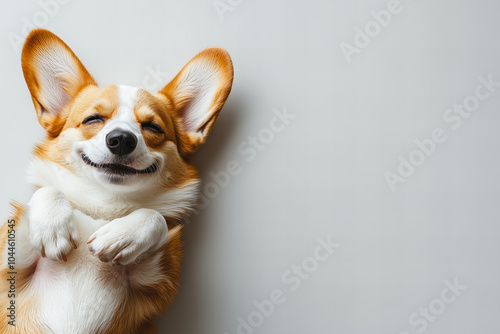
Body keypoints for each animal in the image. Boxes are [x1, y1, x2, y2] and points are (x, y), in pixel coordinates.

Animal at [0, 29, 234, 334]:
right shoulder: (12, 265)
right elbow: (47, 190)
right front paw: (53, 227)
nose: (122, 139)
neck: (102, 208)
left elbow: (155, 216)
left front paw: (121, 237)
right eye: (93, 119)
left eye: (152, 127)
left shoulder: (155, 280)